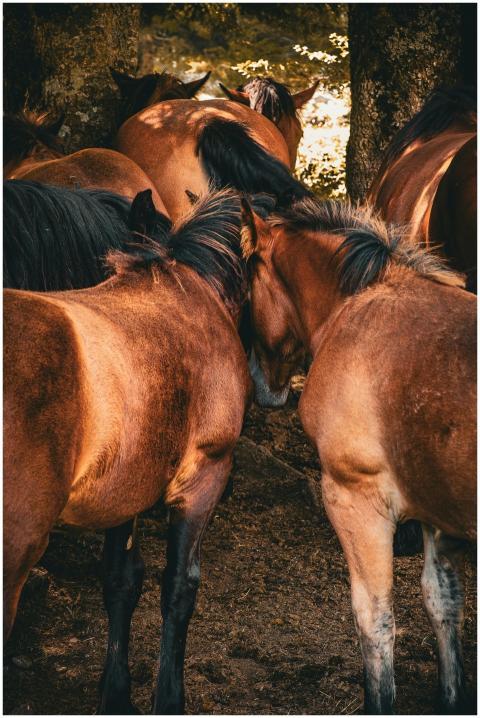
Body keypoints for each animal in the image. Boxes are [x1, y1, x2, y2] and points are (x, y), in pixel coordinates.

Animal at [4, 188, 252, 714]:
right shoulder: (203, 480)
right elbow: (179, 588)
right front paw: (168, 697)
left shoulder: (124, 490)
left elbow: (121, 581)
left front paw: (116, 693)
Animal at [241, 194, 476, 714]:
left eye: (247, 289)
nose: (258, 383)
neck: (358, 306)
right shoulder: (435, 510)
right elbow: (442, 603)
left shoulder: (356, 502)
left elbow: (375, 621)